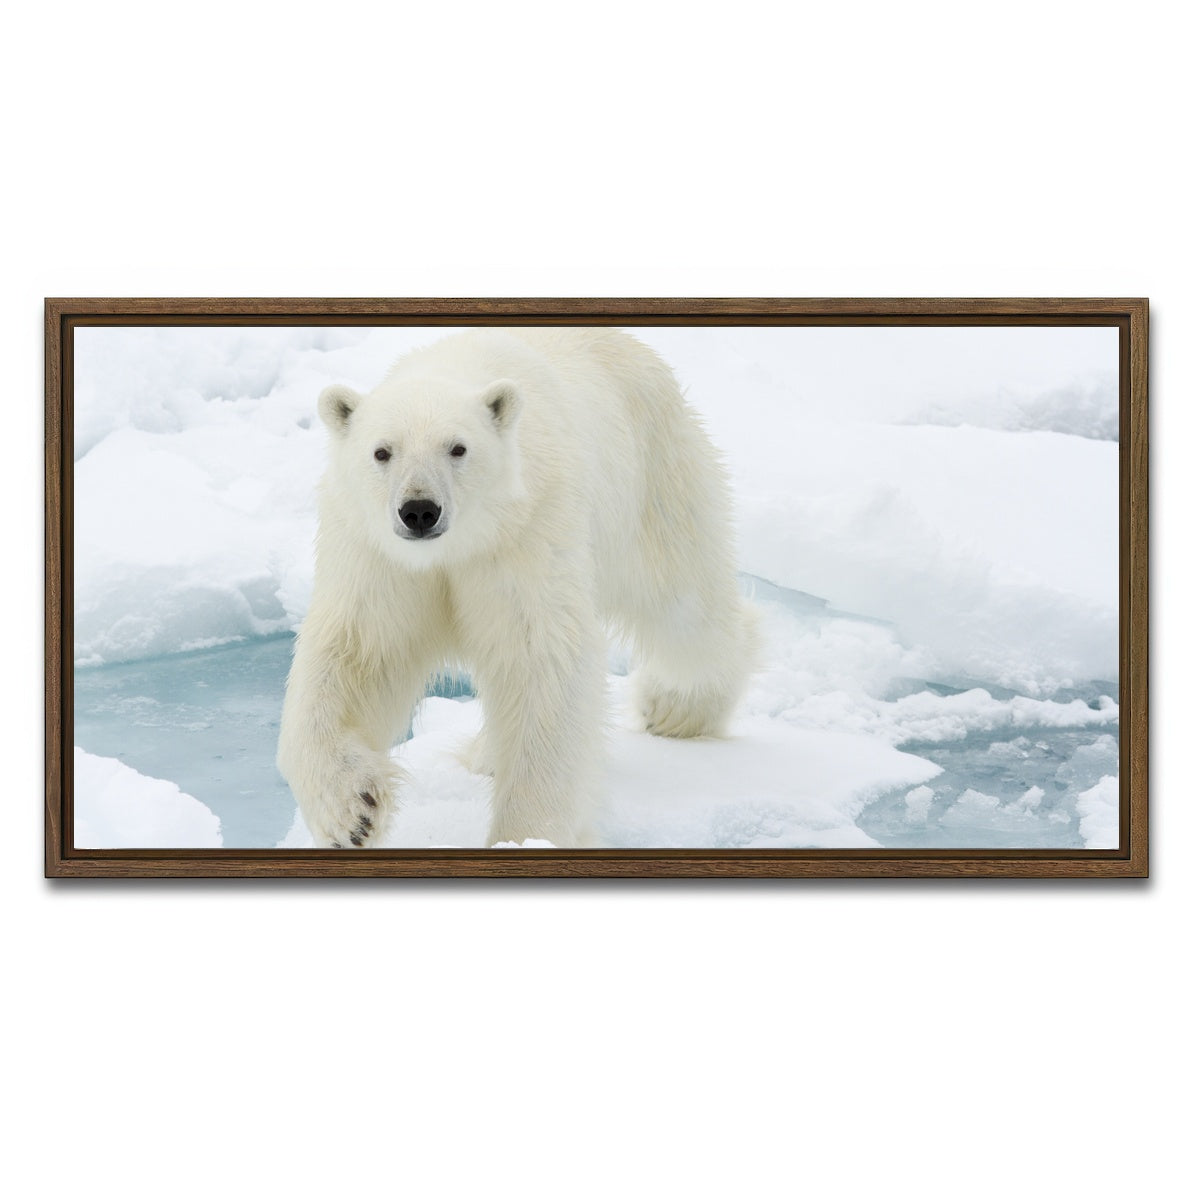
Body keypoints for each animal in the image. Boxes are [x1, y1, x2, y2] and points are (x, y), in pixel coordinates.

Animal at [277, 327, 758, 848]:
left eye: (458, 448)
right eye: (382, 451)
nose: (419, 510)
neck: (458, 547)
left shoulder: (526, 531)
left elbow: (539, 660)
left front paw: (526, 835)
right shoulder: (377, 556)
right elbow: (356, 654)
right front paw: (353, 812)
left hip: (654, 480)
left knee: (684, 607)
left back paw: (673, 708)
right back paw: (487, 753)